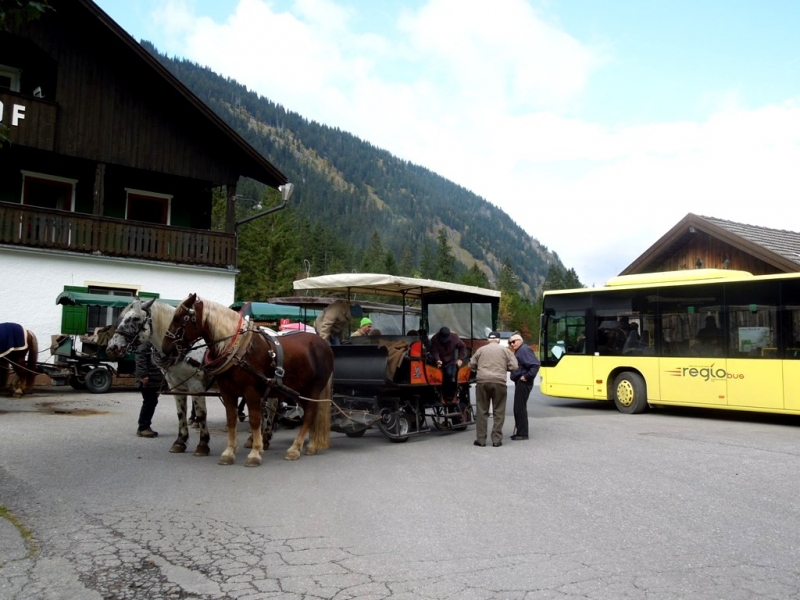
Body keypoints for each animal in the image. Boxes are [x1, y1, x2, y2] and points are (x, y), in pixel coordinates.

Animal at [104, 298, 214, 458]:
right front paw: (180, 442)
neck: (182, 348)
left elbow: (201, 414)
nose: (112, 348)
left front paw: (203, 444)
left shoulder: (196, 385)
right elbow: (181, 413)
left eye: (135, 318)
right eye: (122, 317)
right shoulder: (176, 386)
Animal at [162, 296, 334, 468]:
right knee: (312, 414)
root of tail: (323, 343)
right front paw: (229, 452)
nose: (165, 348)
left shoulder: (251, 391)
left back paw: (295, 448)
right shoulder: (227, 391)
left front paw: (255, 452)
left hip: (313, 390)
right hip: (299, 391)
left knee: (309, 415)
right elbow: (231, 419)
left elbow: (255, 420)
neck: (238, 350)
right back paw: (311, 445)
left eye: (178, 318)